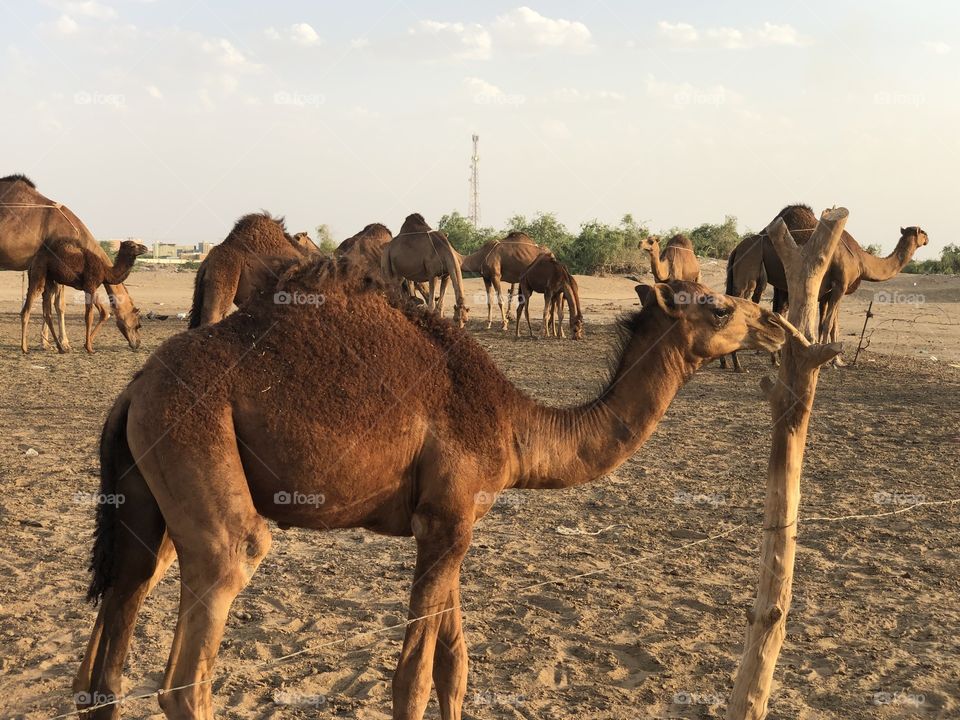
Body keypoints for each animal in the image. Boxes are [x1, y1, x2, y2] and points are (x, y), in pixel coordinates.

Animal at [0, 173, 143, 351]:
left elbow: (52, 304)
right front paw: (64, 343)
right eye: (138, 324)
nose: (137, 343)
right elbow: (60, 306)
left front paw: (47, 343)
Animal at [75, 253, 784, 720]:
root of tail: (133, 389)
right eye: (719, 306)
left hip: (150, 492)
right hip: (197, 448)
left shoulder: (455, 522)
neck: (515, 425)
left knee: (115, 636)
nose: (777, 327)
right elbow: (412, 679)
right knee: (195, 653)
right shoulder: (444, 521)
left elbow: (455, 667)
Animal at [760, 204, 929, 356]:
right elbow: (828, 324)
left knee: (779, 311)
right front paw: (829, 358)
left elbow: (831, 325)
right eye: (922, 232)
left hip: (781, 284)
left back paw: (776, 357)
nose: (927, 238)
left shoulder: (834, 290)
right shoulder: (840, 285)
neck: (861, 260)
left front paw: (835, 357)